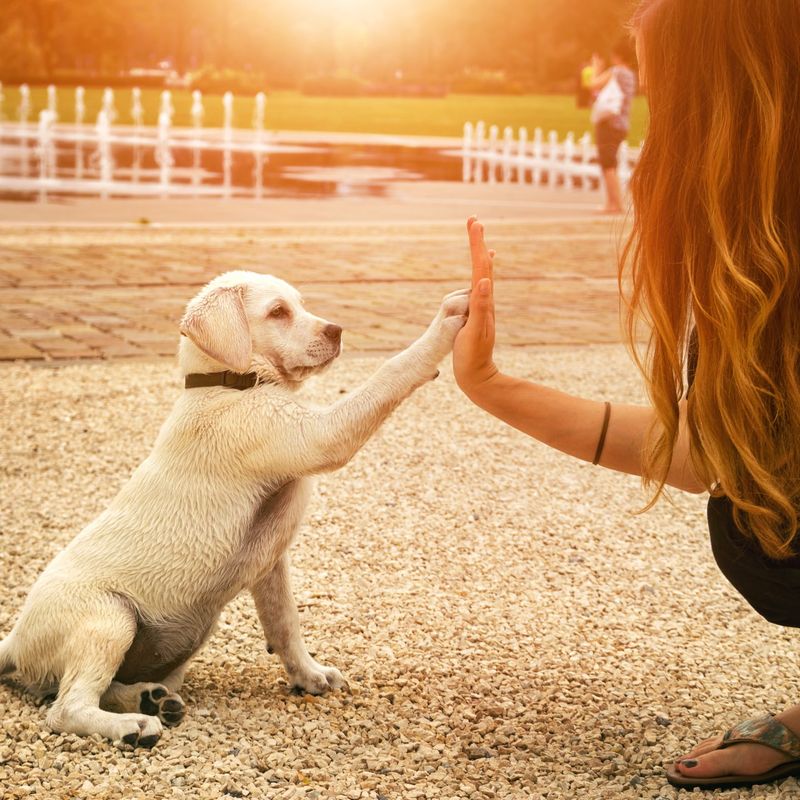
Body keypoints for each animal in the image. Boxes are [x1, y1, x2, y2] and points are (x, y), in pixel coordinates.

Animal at [0, 272, 472, 748]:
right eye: (278, 312)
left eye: (300, 305)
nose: (337, 331)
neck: (226, 383)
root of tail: (14, 641)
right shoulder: (317, 435)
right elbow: (388, 372)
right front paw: (445, 322)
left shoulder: (271, 562)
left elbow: (285, 623)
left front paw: (309, 674)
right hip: (109, 619)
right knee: (65, 709)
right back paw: (132, 725)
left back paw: (151, 700)